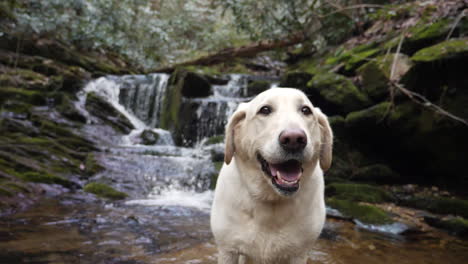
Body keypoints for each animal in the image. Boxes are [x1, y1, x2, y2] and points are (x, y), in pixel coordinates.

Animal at [210, 88, 330, 264]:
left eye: (306, 110)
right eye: (265, 110)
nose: (294, 139)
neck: (271, 200)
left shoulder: (299, 254)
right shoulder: (228, 250)